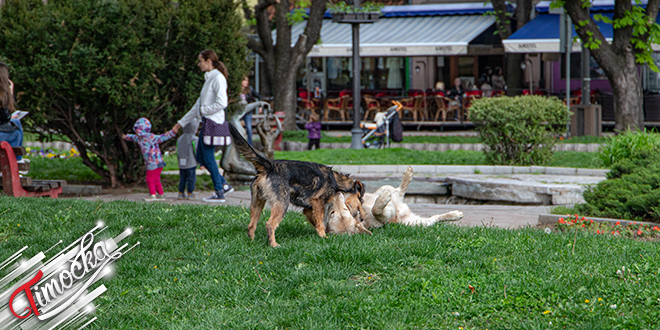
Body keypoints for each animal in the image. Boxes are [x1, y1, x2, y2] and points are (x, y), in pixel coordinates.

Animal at [229, 124, 368, 248]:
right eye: (360, 197)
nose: (363, 217)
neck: (335, 180)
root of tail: (268, 166)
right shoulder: (318, 203)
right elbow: (321, 222)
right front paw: (324, 236)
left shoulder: (308, 208)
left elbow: (317, 222)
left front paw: (321, 234)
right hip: (282, 203)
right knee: (270, 224)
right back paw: (273, 245)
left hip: (257, 203)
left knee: (251, 225)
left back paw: (251, 242)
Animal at [326, 165, 464, 232]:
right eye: (333, 213)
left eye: (344, 209)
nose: (336, 196)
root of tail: (402, 207)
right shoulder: (382, 219)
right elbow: (376, 211)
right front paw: (383, 200)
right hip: (417, 223)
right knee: (434, 218)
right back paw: (455, 215)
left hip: (383, 187)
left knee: (399, 190)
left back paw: (408, 174)